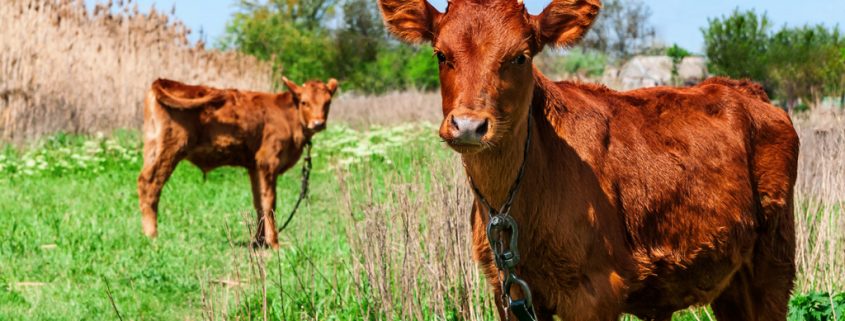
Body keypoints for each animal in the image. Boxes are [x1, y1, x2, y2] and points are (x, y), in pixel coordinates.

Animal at [138, 77, 336, 248]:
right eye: (304, 102)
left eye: (328, 103)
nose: (318, 123)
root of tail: (165, 81)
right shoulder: (268, 161)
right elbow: (269, 202)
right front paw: (274, 243)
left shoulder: (255, 166)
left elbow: (259, 202)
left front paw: (259, 241)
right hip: (170, 148)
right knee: (150, 184)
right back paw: (152, 235)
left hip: (152, 147)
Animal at [380, 0, 796, 320]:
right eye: (441, 54)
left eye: (520, 56)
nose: (469, 125)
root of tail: (742, 87)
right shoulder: (508, 293)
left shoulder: (595, 292)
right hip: (730, 279)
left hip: (773, 266)